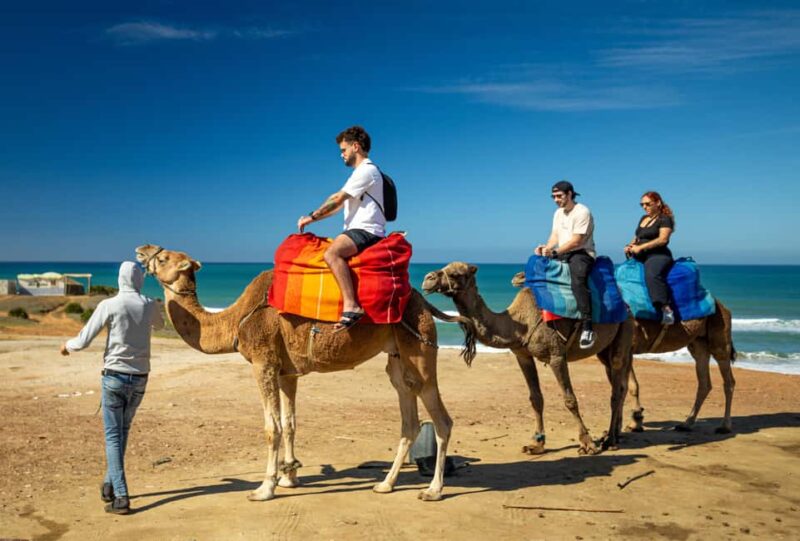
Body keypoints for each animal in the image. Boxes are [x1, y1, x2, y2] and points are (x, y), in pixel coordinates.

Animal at [135, 244, 477, 502]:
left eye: (164, 258)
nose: (142, 249)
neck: (235, 321)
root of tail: (424, 302)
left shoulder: (263, 363)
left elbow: (271, 427)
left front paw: (264, 489)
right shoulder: (287, 372)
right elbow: (290, 424)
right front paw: (290, 477)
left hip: (419, 347)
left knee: (441, 417)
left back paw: (433, 490)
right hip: (397, 356)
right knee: (409, 415)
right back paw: (385, 484)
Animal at [422, 262, 634, 455]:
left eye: (456, 273)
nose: (428, 279)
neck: (519, 324)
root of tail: (626, 305)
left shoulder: (556, 355)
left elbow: (570, 399)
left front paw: (587, 444)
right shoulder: (522, 354)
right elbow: (536, 398)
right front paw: (536, 444)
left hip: (623, 331)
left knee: (616, 389)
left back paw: (610, 440)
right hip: (604, 350)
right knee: (619, 384)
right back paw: (613, 434)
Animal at [509, 272, 737, 434]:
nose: (517, 277)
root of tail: (721, 304)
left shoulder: (627, 347)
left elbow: (626, 386)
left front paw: (630, 423)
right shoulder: (612, 353)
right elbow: (626, 386)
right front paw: (631, 422)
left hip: (720, 333)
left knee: (727, 377)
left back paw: (725, 426)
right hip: (698, 343)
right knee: (704, 380)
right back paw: (687, 423)